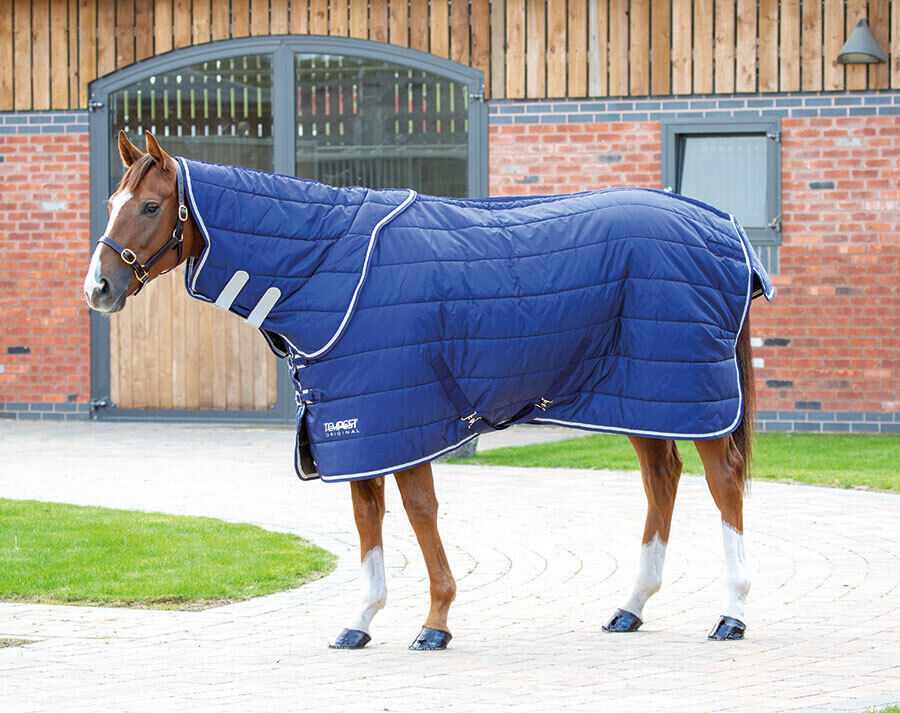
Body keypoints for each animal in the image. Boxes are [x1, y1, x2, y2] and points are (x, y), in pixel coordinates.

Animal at [84, 130, 768, 649]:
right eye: (114, 200)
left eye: (150, 207)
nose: (99, 288)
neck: (330, 267)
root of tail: (723, 227)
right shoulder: (355, 428)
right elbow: (367, 518)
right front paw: (359, 622)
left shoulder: (401, 417)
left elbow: (418, 512)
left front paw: (435, 622)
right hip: (645, 395)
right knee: (663, 479)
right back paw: (631, 607)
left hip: (691, 391)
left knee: (723, 480)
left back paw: (732, 612)